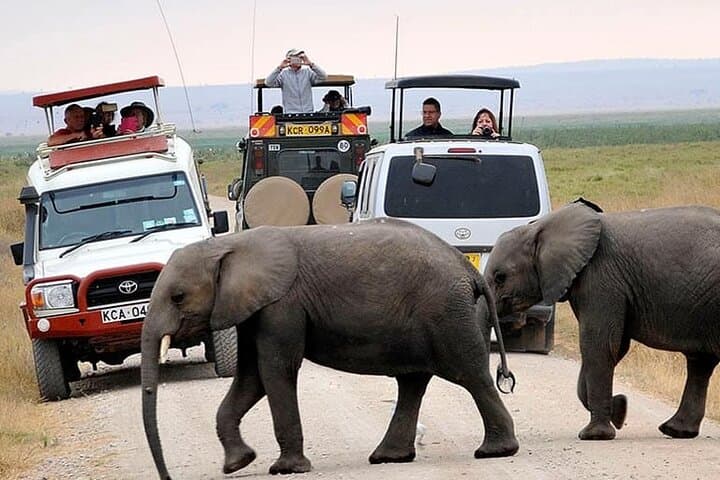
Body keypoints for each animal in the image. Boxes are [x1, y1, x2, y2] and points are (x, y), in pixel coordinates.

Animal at [141, 218, 519, 479]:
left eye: (178, 297)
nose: (167, 476)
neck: (229, 244)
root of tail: (470, 271)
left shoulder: (282, 305)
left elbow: (275, 370)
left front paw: (286, 469)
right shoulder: (252, 310)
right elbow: (251, 378)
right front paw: (238, 463)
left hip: (446, 313)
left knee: (471, 374)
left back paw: (495, 451)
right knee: (413, 382)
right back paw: (388, 457)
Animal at [484, 198, 720, 441]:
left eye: (500, 278)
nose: (505, 377)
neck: (541, 227)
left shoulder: (600, 277)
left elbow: (599, 344)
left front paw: (595, 435)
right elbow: (614, 347)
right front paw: (620, 409)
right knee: (700, 363)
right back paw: (676, 430)